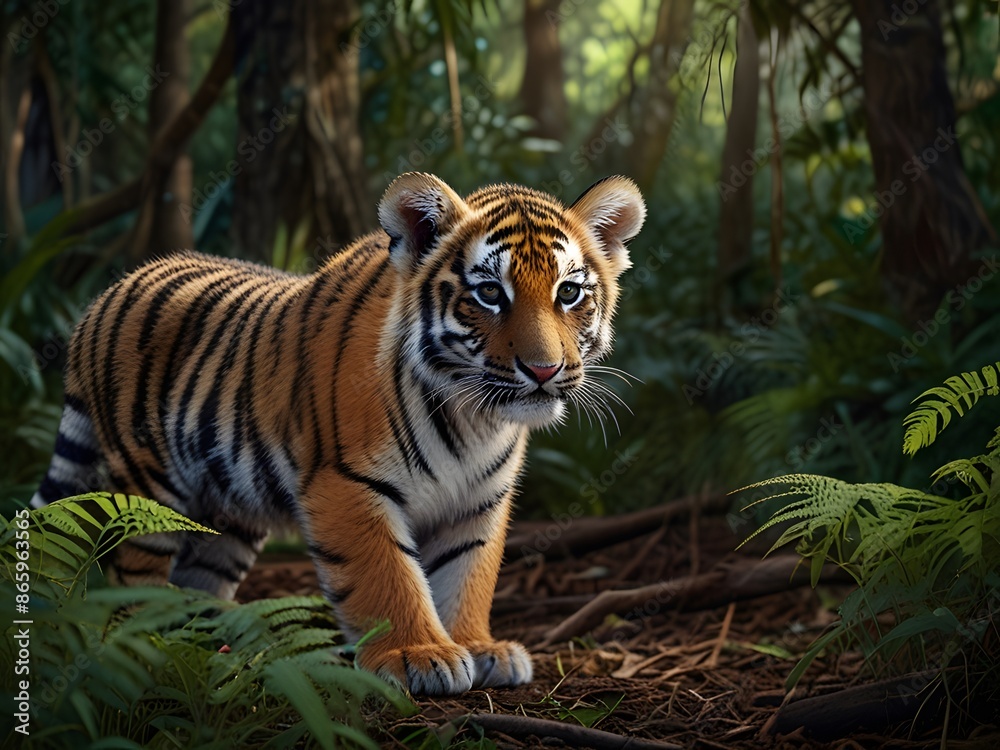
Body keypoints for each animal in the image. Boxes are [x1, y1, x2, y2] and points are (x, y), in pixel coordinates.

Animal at [30, 172, 646, 695]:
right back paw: (146, 646)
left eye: (569, 293)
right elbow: (387, 574)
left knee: (197, 577)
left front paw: (480, 647)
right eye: (491, 293)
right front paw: (418, 655)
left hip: (227, 512)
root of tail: (103, 296)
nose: (544, 370)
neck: (476, 421)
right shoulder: (348, 483)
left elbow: (467, 575)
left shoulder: (479, 501)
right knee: (131, 578)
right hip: (147, 485)